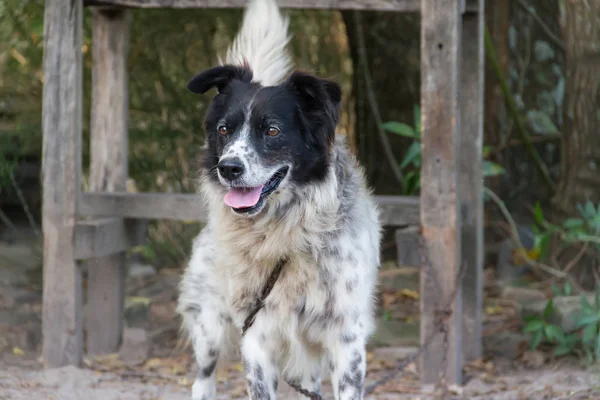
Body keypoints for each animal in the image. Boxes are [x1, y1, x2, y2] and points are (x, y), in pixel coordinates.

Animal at [178, 1, 382, 398]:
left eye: (272, 130)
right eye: (224, 129)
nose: (228, 168)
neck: (285, 232)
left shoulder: (345, 339)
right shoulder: (257, 336)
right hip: (209, 328)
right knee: (202, 379)